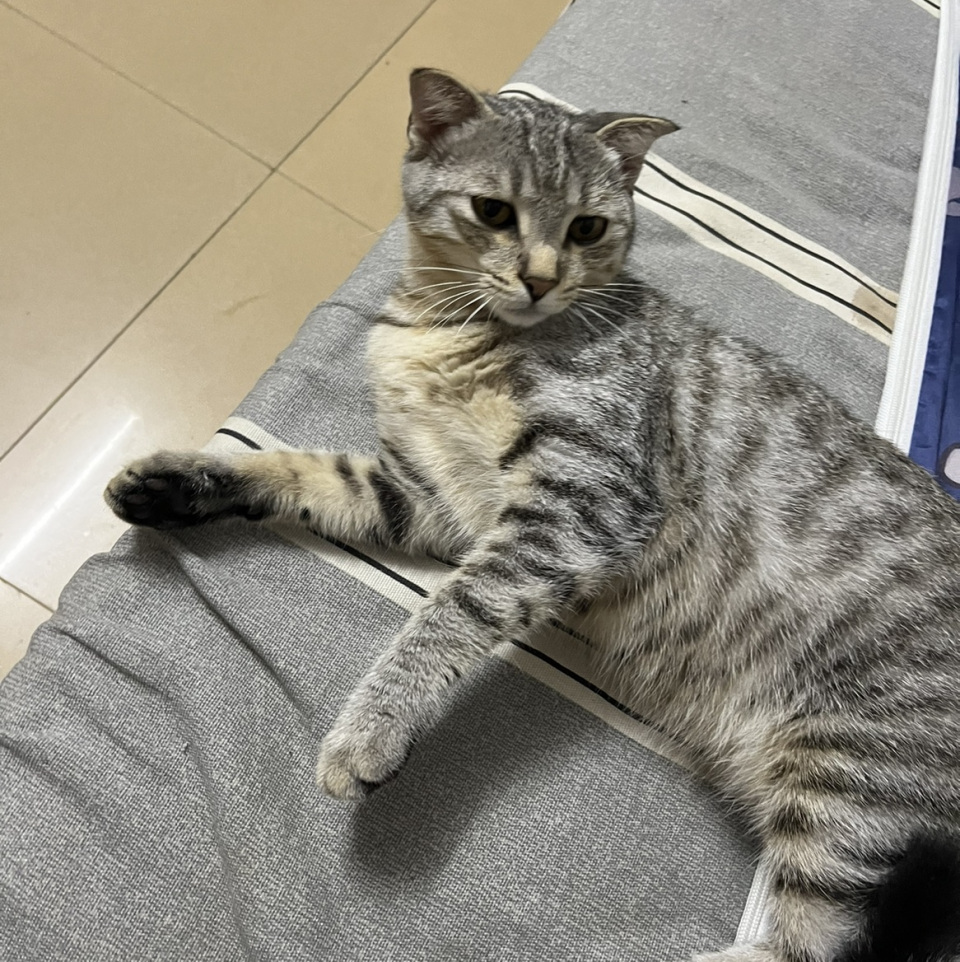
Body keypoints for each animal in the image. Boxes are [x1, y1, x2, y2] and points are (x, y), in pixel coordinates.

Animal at [104, 68, 960, 962]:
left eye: (588, 227)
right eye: (493, 212)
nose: (543, 278)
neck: (448, 329)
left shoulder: (584, 503)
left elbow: (449, 614)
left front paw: (370, 729)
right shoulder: (427, 496)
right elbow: (297, 470)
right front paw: (176, 484)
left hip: (847, 775)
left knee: (815, 944)